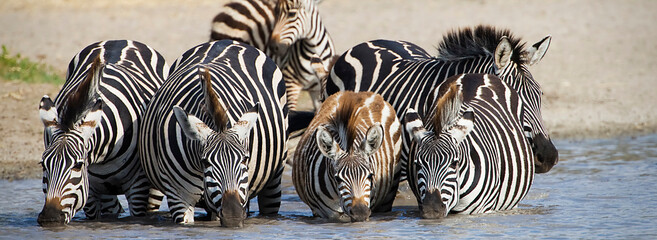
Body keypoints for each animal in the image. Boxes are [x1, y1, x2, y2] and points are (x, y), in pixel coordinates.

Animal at [36, 39, 168, 225]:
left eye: (78, 165)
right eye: (43, 164)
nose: (50, 218)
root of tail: (119, 40)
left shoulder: (138, 184)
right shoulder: (90, 189)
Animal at [140, 39, 288, 227]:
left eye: (245, 159)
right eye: (205, 161)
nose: (233, 217)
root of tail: (226, 41)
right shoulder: (179, 195)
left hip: (274, 176)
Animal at [294, 91, 404, 222]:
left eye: (370, 176)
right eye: (337, 179)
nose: (360, 213)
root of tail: (355, 93)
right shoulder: (321, 213)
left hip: (389, 192)